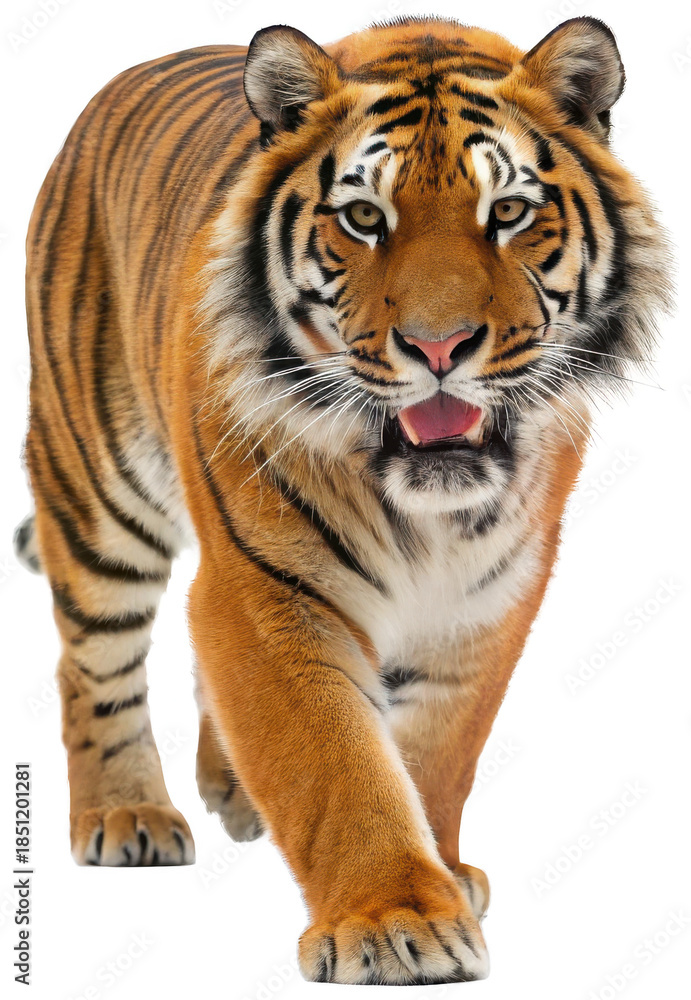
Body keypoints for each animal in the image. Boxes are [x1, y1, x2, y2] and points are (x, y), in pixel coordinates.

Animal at [16, 14, 670, 986]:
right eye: (365, 218)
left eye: (508, 213)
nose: (438, 347)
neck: (427, 513)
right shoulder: (266, 590)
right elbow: (337, 765)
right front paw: (397, 921)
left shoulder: (486, 603)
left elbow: (433, 756)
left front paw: (442, 873)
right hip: (95, 484)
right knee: (93, 658)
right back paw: (124, 814)